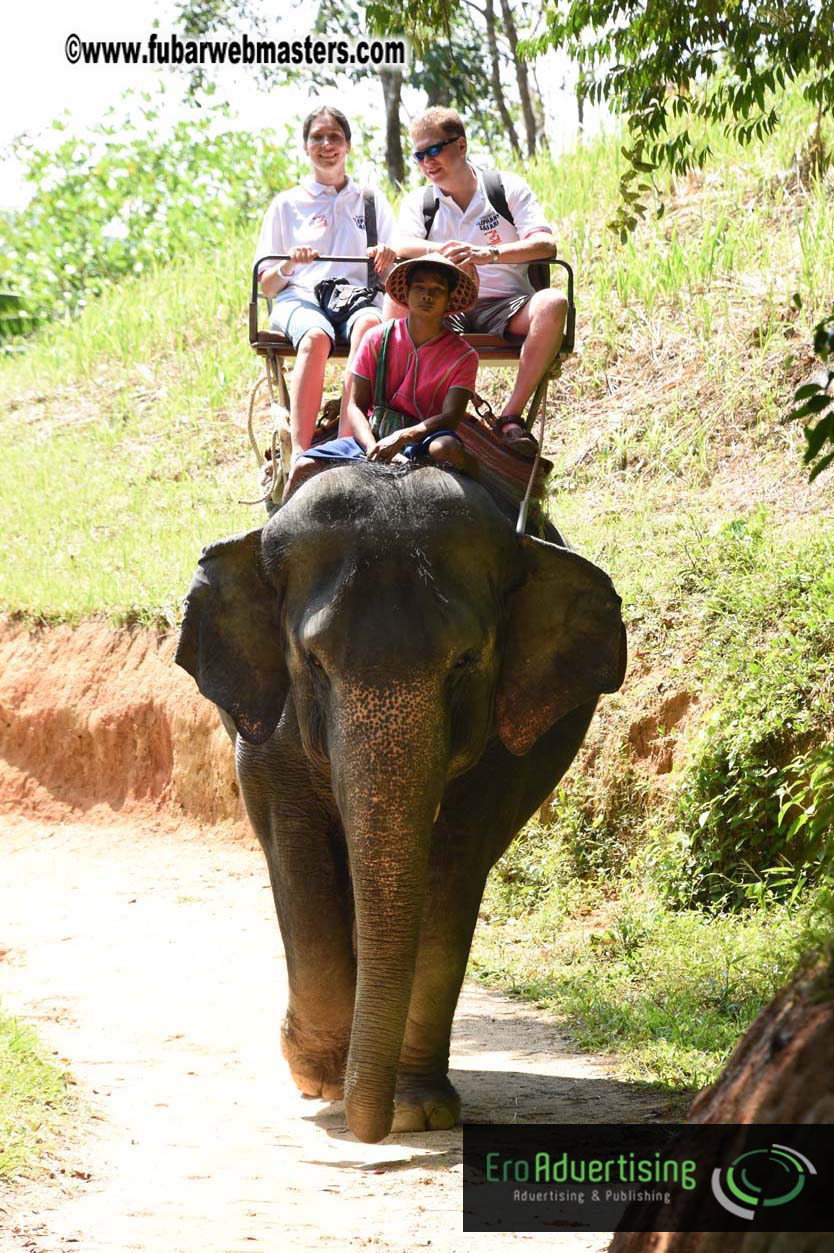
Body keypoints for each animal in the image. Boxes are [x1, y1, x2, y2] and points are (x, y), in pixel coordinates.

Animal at [175, 460, 625, 1144]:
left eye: (465, 661)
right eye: (313, 661)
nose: (372, 1130)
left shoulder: (500, 745)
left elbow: (453, 865)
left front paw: (416, 1112)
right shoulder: (270, 731)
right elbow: (294, 846)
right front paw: (321, 1078)